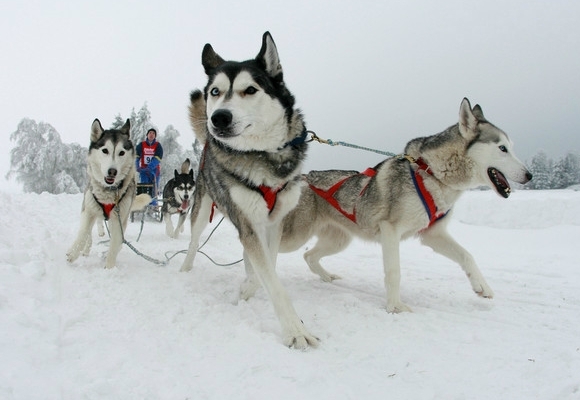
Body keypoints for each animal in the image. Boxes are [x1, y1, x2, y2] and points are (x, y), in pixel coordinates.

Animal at [67, 119, 151, 268]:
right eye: (105, 150)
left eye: (121, 153)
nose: (112, 171)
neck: (108, 191)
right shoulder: (88, 210)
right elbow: (83, 233)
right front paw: (73, 253)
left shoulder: (119, 219)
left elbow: (115, 245)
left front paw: (109, 267)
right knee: (91, 230)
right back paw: (88, 246)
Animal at [181, 32, 318, 348]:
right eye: (215, 91)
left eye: (251, 90)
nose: (218, 118)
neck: (263, 155)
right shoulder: (248, 223)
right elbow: (268, 277)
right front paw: (295, 331)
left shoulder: (273, 223)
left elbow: (266, 266)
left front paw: (247, 288)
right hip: (201, 210)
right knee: (193, 244)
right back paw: (184, 271)